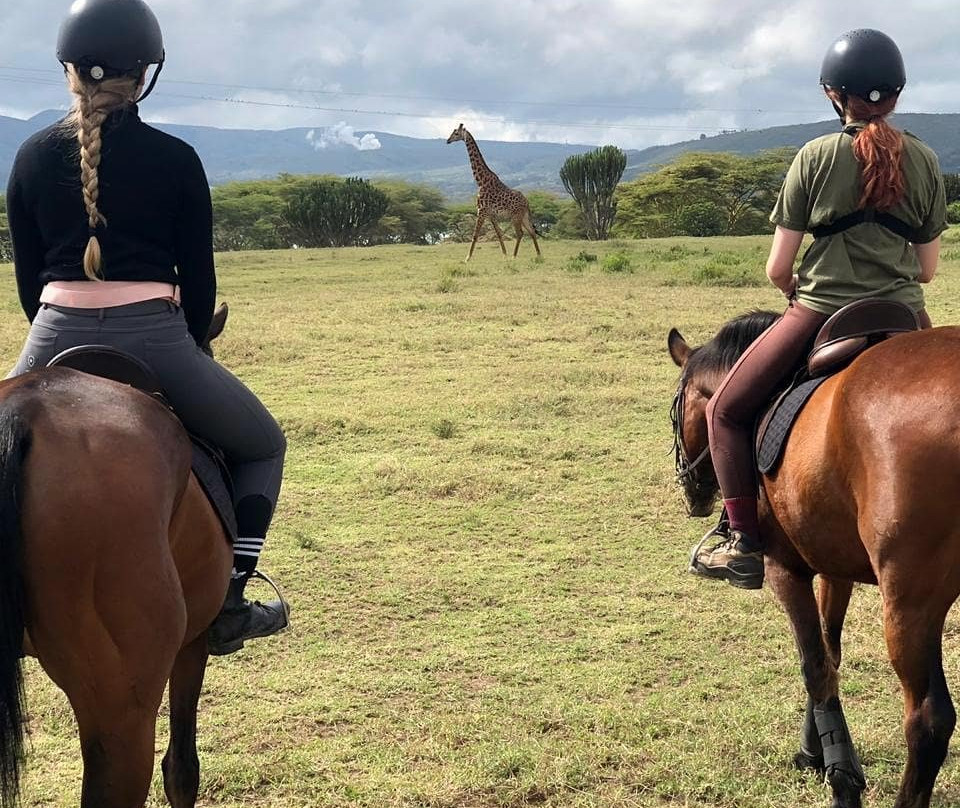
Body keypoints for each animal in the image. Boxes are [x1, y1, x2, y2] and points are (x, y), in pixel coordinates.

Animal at [668, 312, 960, 808]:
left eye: (675, 411)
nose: (692, 492)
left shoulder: (786, 570)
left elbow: (815, 667)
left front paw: (841, 778)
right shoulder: (835, 567)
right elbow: (831, 652)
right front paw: (814, 752)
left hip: (910, 605)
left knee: (928, 721)